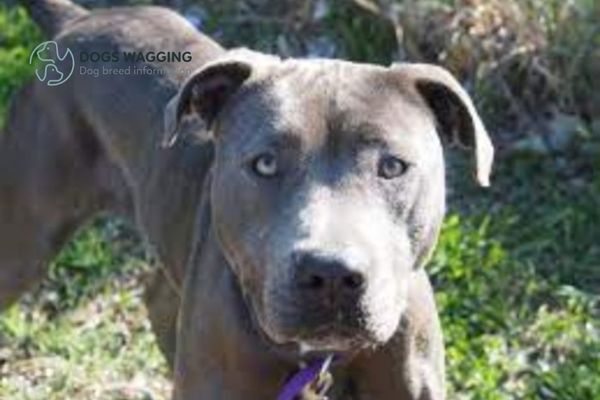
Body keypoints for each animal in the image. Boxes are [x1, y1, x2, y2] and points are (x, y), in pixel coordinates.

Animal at [1, 1, 492, 398]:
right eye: (266, 164)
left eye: (391, 166)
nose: (331, 274)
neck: (319, 360)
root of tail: (76, 21)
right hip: (24, 242)